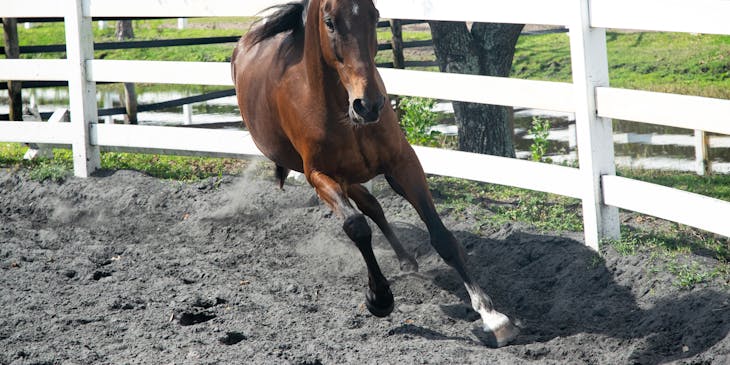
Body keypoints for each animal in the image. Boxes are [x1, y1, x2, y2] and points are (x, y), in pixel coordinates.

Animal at [233, 0, 516, 346]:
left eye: (375, 15)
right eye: (329, 22)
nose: (368, 105)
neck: (340, 109)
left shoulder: (403, 163)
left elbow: (441, 236)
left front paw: (492, 316)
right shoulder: (319, 175)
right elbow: (357, 226)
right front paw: (379, 298)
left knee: (374, 207)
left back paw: (407, 260)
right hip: (341, 179)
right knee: (367, 210)